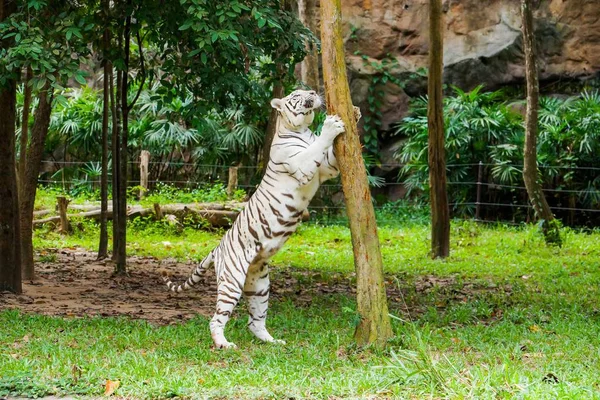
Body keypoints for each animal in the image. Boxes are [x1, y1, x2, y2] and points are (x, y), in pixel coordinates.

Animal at [163, 89, 352, 348]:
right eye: (297, 94)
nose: (313, 92)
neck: (302, 128)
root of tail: (217, 248)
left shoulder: (325, 168)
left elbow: (330, 155)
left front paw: (355, 115)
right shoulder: (303, 165)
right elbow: (318, 146)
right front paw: (331, 125)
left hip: (260, 284)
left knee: (255, 321)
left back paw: (272, 341)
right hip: (232, 281)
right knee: (216, 319)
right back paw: (224, 344)